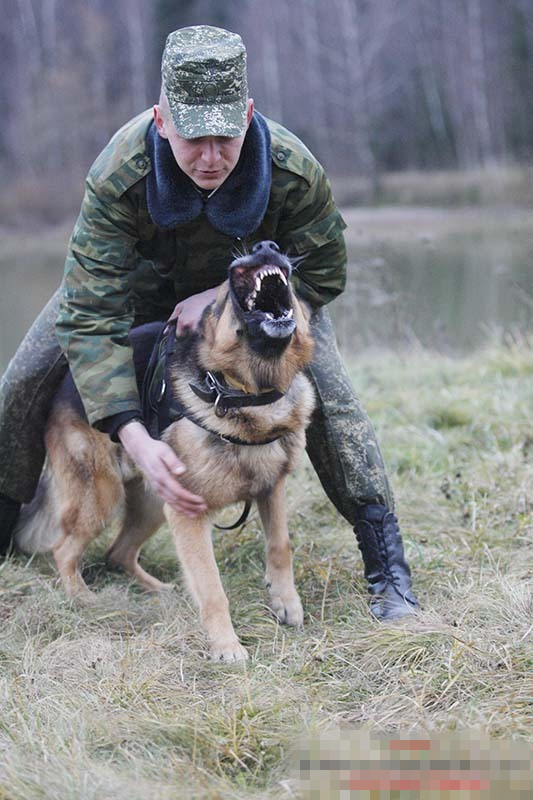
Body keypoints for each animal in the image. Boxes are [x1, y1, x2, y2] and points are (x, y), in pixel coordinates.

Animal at [16, 242, 314, 664]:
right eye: (225, 293)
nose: (264, 246)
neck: (247, 394)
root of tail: (65, 385)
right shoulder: (190, 516)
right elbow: (210, 584)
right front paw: (226, 645)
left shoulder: (270, 490)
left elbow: (280, 546)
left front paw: (286, 602)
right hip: (104, 497)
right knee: (64, 549)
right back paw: (82, 599)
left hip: (153, 505)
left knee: (118, 553)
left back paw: (157, 589)